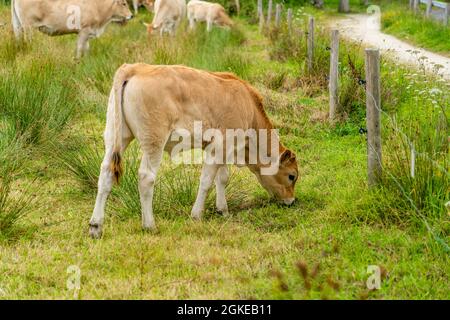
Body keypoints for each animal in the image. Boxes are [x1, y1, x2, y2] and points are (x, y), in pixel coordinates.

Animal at [89, 63, 298, 239]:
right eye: (291, 176)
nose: (292, 201)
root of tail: (135, 67)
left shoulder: (224, 149)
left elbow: (222, 178)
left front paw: (223, 210)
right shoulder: (221, 144)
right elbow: (206, 181)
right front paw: (196, 215)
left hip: (116, 136)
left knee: (106, 173)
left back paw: (95, 226)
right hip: (153, 140)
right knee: (146, 177)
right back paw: (149, 225)